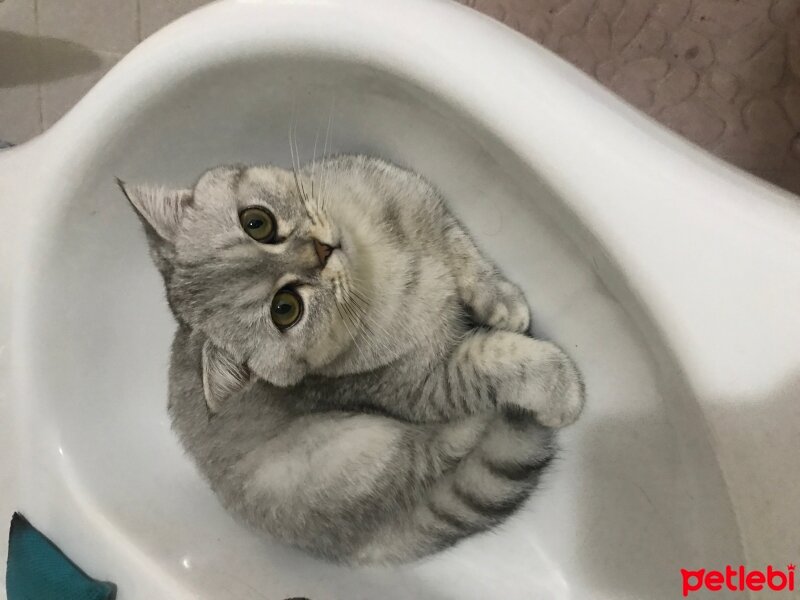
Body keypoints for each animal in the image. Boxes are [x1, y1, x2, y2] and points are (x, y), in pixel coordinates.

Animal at [119, 154, 580, 564]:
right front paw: (560, 389)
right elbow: (495, 361)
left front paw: (503, 303)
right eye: (285, 309)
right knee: (432, 453)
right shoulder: (425, 383)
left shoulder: (427, 208)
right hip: (357, 451)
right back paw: (482, 421)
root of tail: (361, 547)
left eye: (257, 223)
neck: (379, 266)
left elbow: (466, 258)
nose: (321, 251)